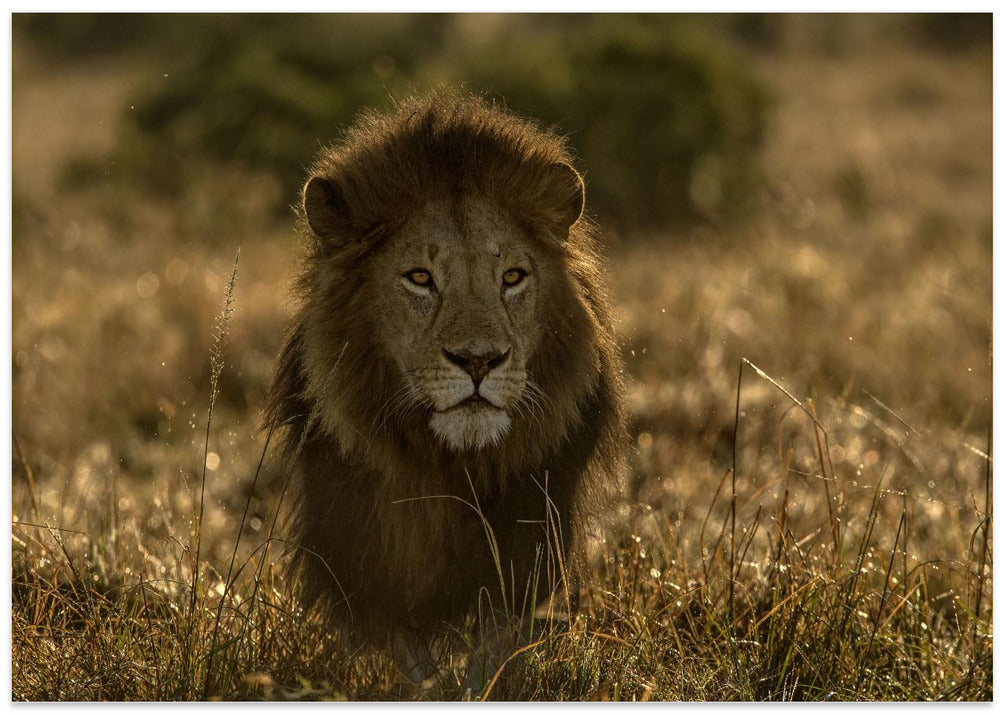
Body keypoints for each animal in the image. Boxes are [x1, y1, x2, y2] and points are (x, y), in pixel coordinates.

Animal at [263, 92, 626, 689]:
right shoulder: (365, 546)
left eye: (512, 277)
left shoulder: (526, 533)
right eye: (420, 278)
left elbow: (493, 646)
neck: (451, 463)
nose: (478, 360)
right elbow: (410, 656)